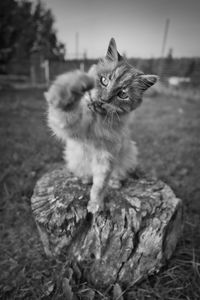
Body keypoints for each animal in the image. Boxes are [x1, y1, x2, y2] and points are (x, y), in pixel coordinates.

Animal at [45, 38, 158, 214]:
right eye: (104, 81)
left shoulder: (105, 157)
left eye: (122, 94)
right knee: (84, 173)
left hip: (129, 155)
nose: (104, 99)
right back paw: (85, 178)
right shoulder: (69, 125)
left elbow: (99, 185)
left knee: (117, 175)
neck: (96, 122)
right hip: (74, 158)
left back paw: (114, 183)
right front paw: (74, 85)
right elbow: (66, 108)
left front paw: (96, 205)